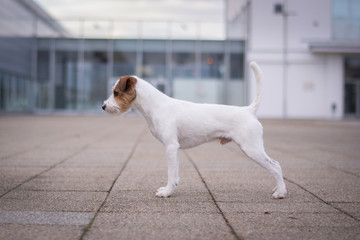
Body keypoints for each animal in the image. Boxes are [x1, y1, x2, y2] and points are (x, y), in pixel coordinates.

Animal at [103, 62, 286, 199]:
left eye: (116, 92)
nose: (103, 106)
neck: (156, 106)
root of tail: (248, 110)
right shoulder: (174, 148)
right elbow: (175, 173)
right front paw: (170, 188)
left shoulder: (170, 146)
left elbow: (170, 173)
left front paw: (166, 192)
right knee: (276, 165)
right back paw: (277, 189)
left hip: (252, 148)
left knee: (275, 167)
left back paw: (281, 193)